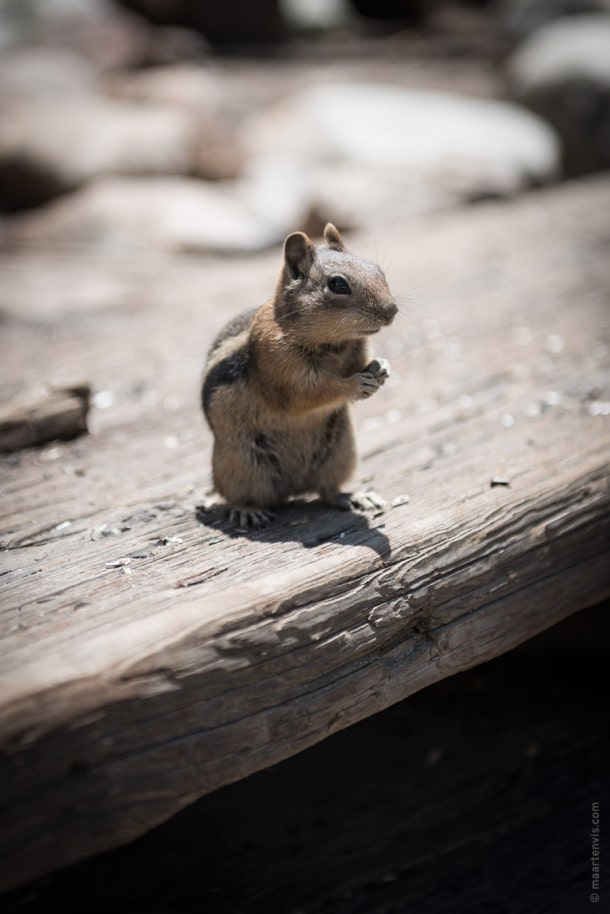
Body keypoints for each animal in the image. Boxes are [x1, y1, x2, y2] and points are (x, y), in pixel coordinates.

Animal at [202, 223, 396, 528]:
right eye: (338, 284)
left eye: (377, 270)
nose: (392, 311)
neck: (335, 343)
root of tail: (293, 489)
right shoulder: (279, 363)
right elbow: (309, 392)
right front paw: (354, 384)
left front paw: (381, 367)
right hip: (241, 464)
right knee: (239, 495)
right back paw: (247, 510)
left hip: (340, 452)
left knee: (327, 489)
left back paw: (355, 497)